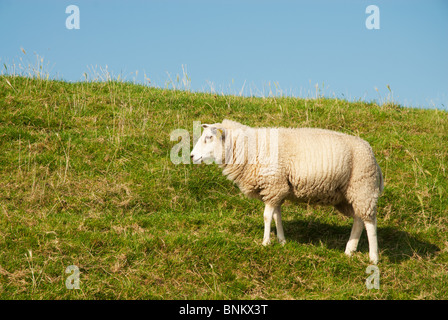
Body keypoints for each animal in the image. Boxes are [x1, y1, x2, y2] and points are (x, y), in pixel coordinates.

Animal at [191, 119, 384, 264]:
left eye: (209, 137)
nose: (192, 156)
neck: (249, 148)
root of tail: (373, 156)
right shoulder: (277, 188)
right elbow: (277, 215)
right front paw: (281, 241)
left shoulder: (274, 184)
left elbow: (267, 216)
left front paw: (265, 242)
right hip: (348, 196)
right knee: (359, 220)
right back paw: (349, 251)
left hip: (363, 187)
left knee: (370, 223)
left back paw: (373, 257)